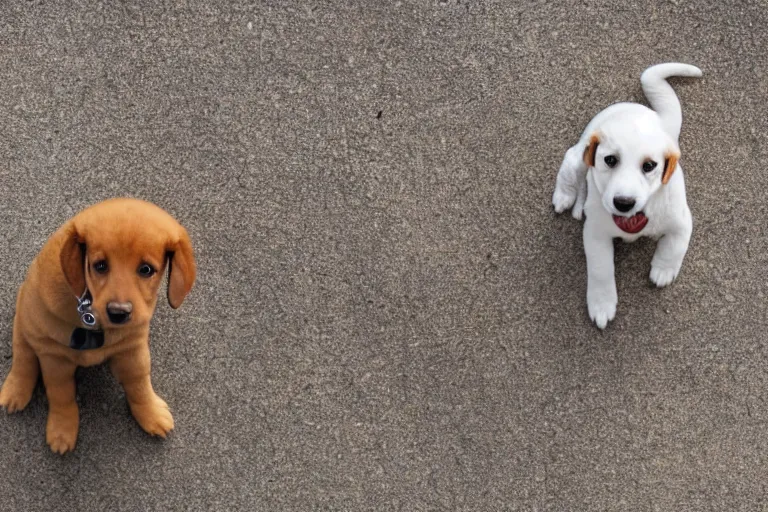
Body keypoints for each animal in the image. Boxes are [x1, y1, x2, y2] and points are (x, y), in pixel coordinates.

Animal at [0, 198, 195, 454]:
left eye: (146, 270)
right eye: (100, 266)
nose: (119, 313)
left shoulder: (132, 350)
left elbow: (139, 384)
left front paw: (150, 413)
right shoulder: (55, 358)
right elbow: (61, 394)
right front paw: (62, 429)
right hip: (26, 318)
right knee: (23, 356)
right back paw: (16, 390)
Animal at [552, 63, 704, 328]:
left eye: (649, 166)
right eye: (610, 160)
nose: (623, 203)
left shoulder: (681, 220)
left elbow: (675, 246)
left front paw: (663, 269)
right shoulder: (595, 233)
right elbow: (600, 269)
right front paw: (602, 303)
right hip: (579, 158)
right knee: (570, 163)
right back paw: (564, 194)